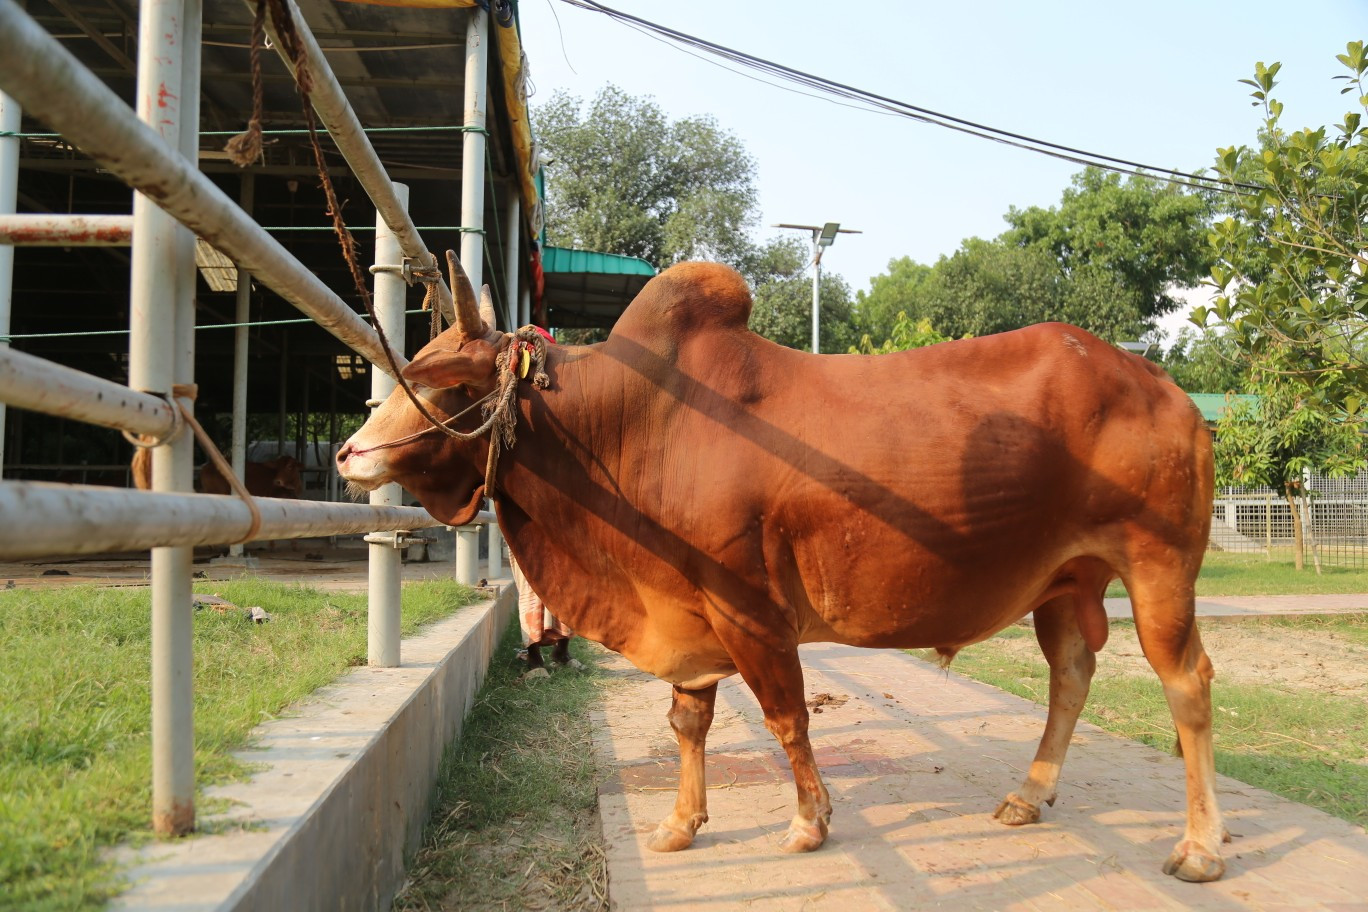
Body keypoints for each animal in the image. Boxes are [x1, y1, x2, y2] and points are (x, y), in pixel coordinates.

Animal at [336, 256, 1226, 882]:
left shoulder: (748, 610)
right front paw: (679, 824)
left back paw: (1201, 847)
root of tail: (1161, 384)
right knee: (1071, 674)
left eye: (445, 380)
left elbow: (786, 715)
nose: (349, 453)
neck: (625, 425)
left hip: (1158, 568)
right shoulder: (684, 612)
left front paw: (809, 820)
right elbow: (688, 721)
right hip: (1067, 580)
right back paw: (1028, 796)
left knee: (1187, 685)